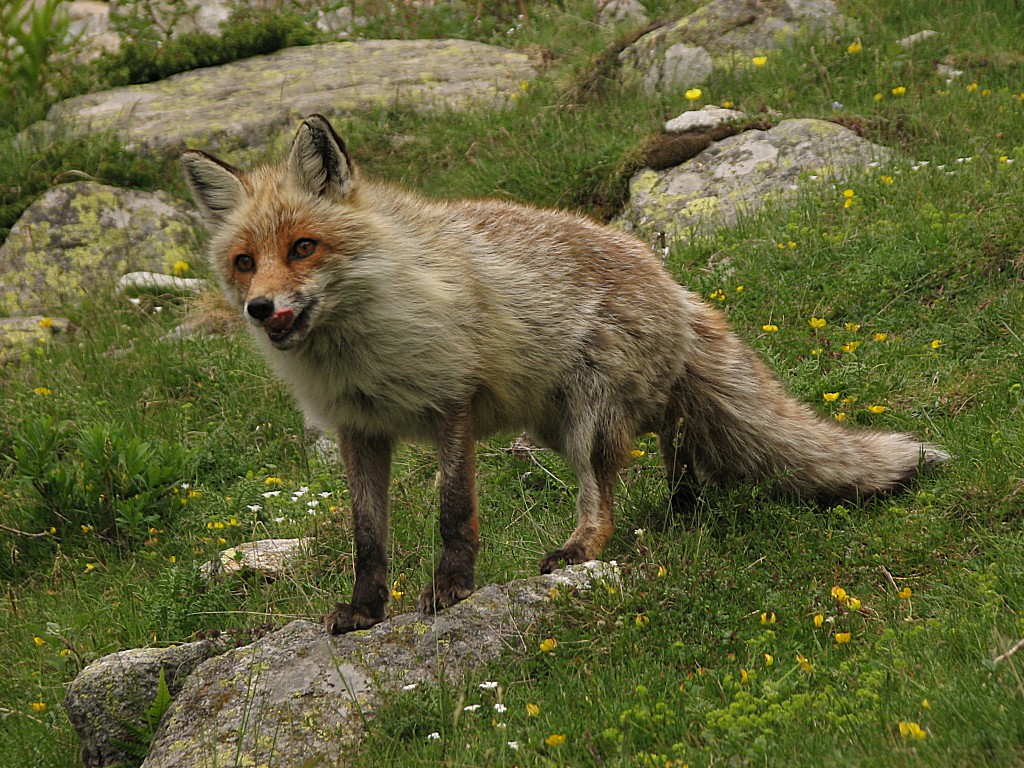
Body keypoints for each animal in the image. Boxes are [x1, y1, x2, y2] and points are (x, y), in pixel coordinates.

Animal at [180, 112, 946, 630]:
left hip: (587, 423)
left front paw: (450, 591)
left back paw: (585, 548)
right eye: (245, 261)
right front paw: (366, 611)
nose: (259, 308)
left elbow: (453, 511)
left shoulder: (452, 402)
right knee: (676, 437)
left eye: (303, 247)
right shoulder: (359, 430)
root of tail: (672, 280)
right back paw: (687, 506)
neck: (361, 347)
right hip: (561, 424)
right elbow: (368, 538)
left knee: (605, 494)